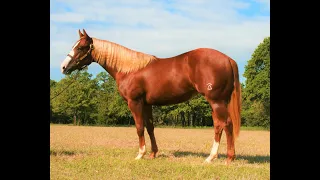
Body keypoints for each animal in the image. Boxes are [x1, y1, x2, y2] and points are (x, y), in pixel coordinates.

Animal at [60, 29, 241, 165]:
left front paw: (140, 154)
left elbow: (139, 127)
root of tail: (228, 59)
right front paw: (153, 154)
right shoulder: (146, 104)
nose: (63, 67)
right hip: (218, 102)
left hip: (216, 101)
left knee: (227, 124)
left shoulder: (134, 103)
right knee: (218, 126)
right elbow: (150, 127)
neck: (129, 69)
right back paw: (211, 157)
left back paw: (229, 158)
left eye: (81, 47)